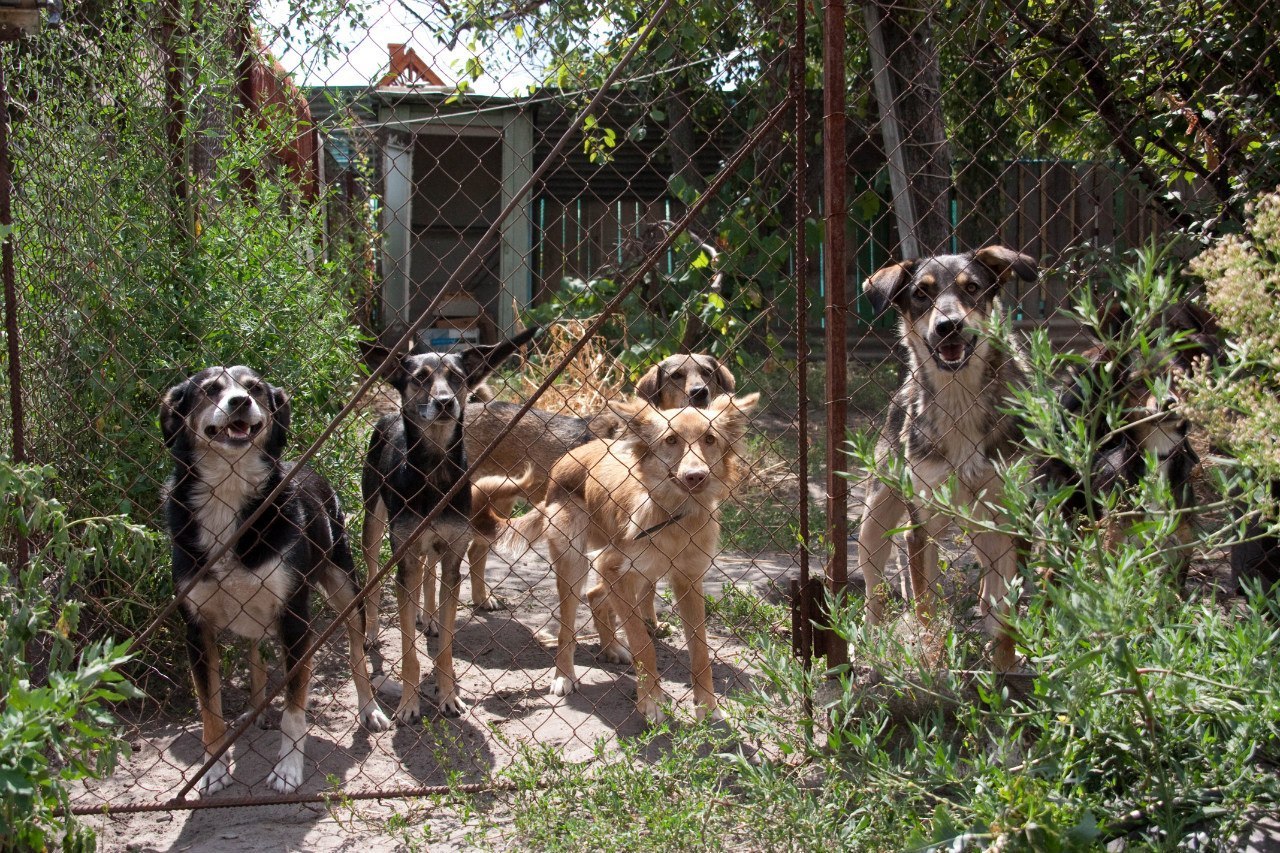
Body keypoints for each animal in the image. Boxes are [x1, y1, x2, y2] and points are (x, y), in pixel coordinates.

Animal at [161, 366, 389, 799]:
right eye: (210, 389)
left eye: (254, 388)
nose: (240, 402)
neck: (229, 494)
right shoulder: (196, 629)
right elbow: (210, 712)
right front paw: (214, 770)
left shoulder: (294, 619)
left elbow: (294, 711)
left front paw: (287, 770)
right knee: (255, 655)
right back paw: (255, 709)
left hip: (344, 586)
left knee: (356, 654)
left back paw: (370, 709)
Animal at [363, 327, 537, 722]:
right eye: (419, 378)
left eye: (456, 377)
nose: (444, 403)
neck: (435, 474)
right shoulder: (405, 560)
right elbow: (408, 651)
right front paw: (409, 703)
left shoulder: (453, 556)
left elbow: (445, 645)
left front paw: (448, 695)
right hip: (373, 524)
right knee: (372, 573)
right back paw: (371, 631)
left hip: (433, 546)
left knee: (430, 575)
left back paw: (427, 617)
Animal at [481, 389, 757, 717]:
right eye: (671, 440)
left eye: (710, 439)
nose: (696, 476)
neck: (674, 516)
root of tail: (570, 457)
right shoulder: (616, 570)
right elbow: (642, 642)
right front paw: (651, 700)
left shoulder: (688, 580)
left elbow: (700, 650)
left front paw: (707, 706)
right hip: (578, 564)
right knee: (567, 626)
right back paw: (564, 675)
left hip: (634, 572)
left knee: (595, 596)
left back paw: (611, 647)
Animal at [849, 245, 1039, 671]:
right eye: (921, 293)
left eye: (972, 288)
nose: (948, 326)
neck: (960, 401)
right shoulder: (921, 526)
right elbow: (925, 608)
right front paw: (931, 662)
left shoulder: (1012, 521)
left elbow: (1009, 612)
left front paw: (1004, 666)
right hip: (874, 524)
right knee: (874, 591)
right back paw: (869, 642)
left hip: (985, 529)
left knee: (989, 590)